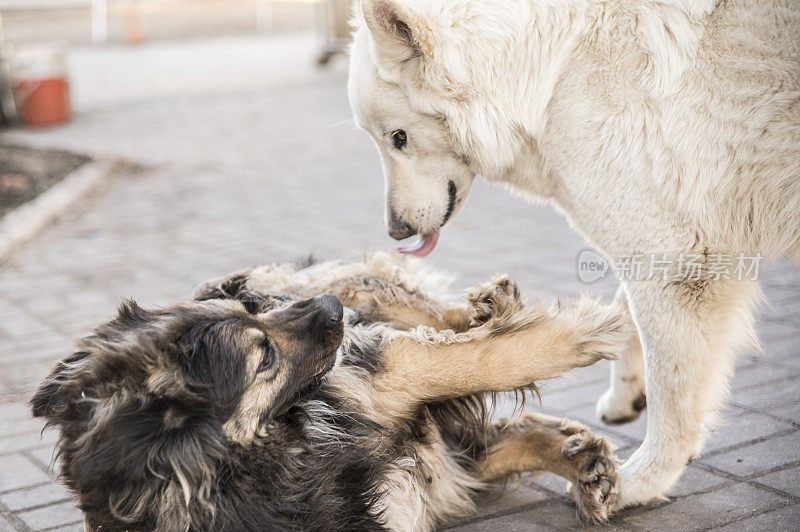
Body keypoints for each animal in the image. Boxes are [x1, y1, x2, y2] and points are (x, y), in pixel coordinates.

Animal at [32, 255, 632, 532]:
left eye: (247, 311)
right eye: (263, 358)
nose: (331, 308)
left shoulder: (376, 369)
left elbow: (483, 358)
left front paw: (594, 327)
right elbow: (485, 361)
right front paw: (595, 329)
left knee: (439, 321)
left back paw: (492, 306)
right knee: (480, 439)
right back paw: (583, 458)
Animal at [348, 0, 800, 512]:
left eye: (399, 137)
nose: (395, 232)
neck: (550, 73)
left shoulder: (672, 262)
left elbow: (672, 392)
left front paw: (637, 482)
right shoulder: (654, 246)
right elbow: (625, 320)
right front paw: (626, 396)